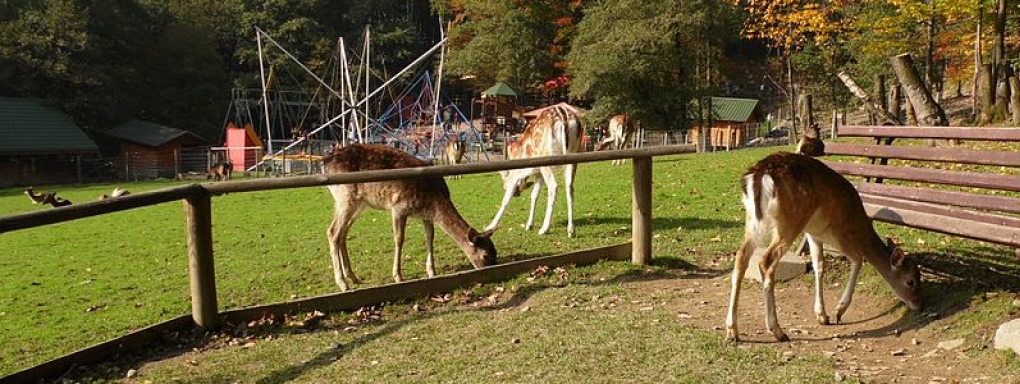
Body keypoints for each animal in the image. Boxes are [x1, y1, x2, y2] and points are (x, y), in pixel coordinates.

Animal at [322, 144, 497, 290]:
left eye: (495, 252)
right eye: (485, 255)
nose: (492, 270)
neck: (433, 200)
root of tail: (325, 162)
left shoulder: (426, 216)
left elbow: (429, 238)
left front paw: (432, 272)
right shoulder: (399, 207)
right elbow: (399, 239)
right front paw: (398, 276)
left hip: (358, 204)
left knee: (343, 233)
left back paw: (353, 277)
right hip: (345, 197)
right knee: (333, 232)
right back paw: (342, 283)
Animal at [485, 105, 583, 236]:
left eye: (504, 183)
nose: (517, 194)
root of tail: (565, 118)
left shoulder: (516, 174)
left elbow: (505, 200)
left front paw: (490, 226)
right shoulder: (538, 173)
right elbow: (534, 195)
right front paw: (529, 225)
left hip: (547, 158)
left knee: (554, 187)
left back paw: (544, 229)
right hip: (573, 155)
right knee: (570, 187)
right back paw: (571, 230)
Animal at [726, 151, 926, 343]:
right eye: (910, 281)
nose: (918, 305)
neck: (858, 224)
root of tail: (760, 174)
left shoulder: (813, 233)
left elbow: (819, 265)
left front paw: (822, 315)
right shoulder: (838, 233)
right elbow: (858, 258)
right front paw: (839, 311)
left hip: (753, 219)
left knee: (741, 256)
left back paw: (732, 330)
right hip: (790, 221)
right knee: (766, 260)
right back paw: (778, 331)